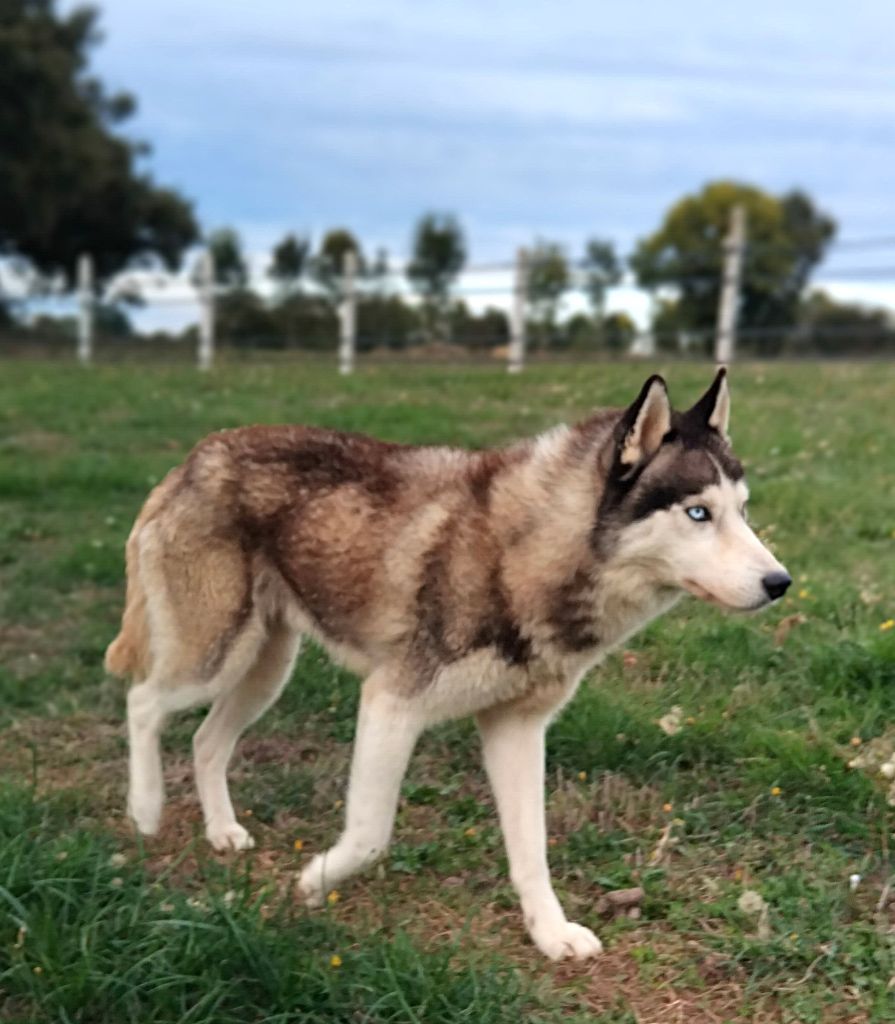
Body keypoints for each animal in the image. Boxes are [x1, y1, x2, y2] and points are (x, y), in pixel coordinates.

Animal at [106, 372, 786, 962]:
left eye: (745, 511)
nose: (780, 583)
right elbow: (370, 834)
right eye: (698, 513)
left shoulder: (517, 730)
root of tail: (198, 455)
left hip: (264, 670)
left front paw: (550, 933)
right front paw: (313, 881)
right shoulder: (390, 703)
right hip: (214, 656)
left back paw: (221, 830)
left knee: (204, 739)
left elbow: (532, 850)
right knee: (142, 702)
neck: (526, 556)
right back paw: (145, 809)